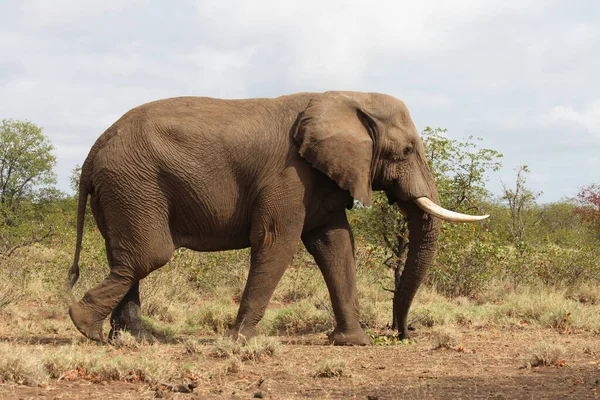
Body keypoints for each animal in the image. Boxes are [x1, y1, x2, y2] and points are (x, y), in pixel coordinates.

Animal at [67, 90, 488, 344]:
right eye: (405, 151)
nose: (404, 334)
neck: (346, 97)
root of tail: (93, 150)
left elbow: (336, 244)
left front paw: (353, 342)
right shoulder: (288, 174)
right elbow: (275, 241)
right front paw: (239, 341)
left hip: (124, 189)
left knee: (126, 258)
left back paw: (136, 339)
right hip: (134, 183)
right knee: (147, 255)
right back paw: (87, 328)